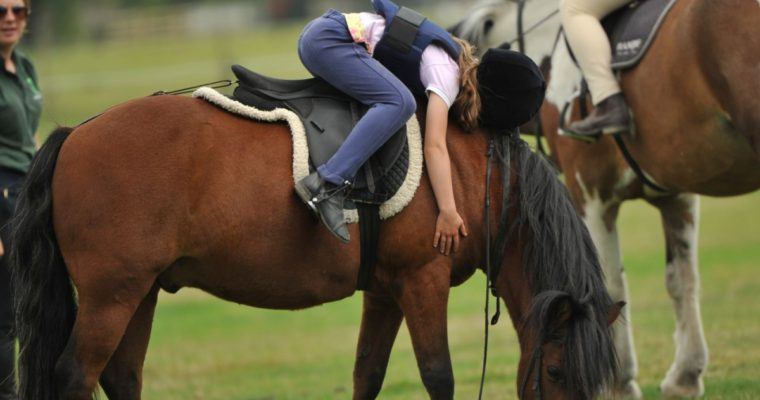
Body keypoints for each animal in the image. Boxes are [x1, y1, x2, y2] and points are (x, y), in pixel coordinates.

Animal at [9, 92, 622, 399]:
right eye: (558, 373)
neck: (474, 176)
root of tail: (75, 133)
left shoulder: (386, 293)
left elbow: (367, 374)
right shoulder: (423, 282)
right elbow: (438, 376)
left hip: (139, 292)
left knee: (121, 377)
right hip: (111, 296)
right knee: (75, 377)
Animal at [452, 0, 760, 398]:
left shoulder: (591, 196)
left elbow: (610, 284)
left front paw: (619, 383)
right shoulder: (677, 195)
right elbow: (682, 279)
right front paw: (685, 375)